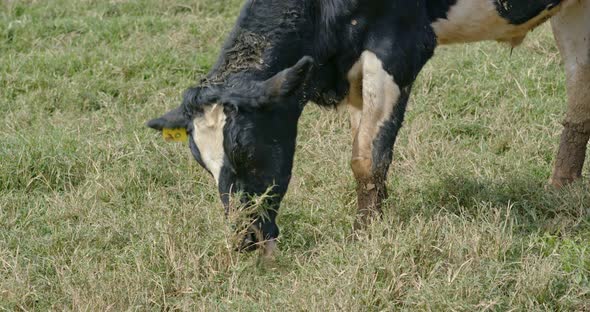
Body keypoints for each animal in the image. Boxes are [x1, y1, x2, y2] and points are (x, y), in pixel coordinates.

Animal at [149, 0, 590, 258]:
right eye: (204, 165)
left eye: (247, 150)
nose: (246, 242)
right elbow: (361, 148)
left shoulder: (398, 46)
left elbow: (368, 157)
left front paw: (365, 236)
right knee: (579, 92)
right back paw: (560, 188)